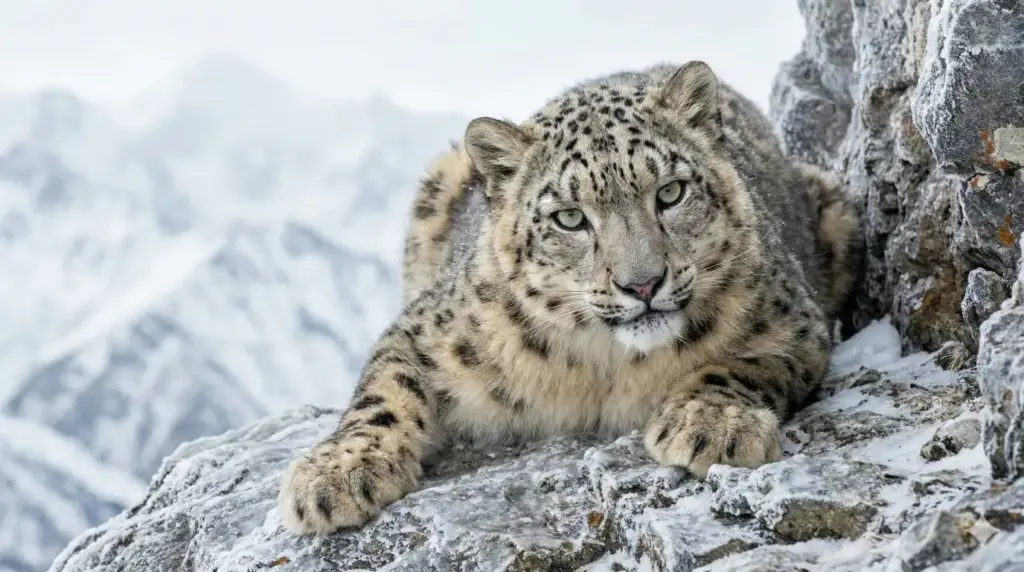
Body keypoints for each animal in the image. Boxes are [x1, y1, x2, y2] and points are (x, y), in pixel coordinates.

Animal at [277, 61, 861, 534]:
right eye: (570, 218)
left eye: (671, 192)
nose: (643, 283)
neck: (605, 368)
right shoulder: (425, 331)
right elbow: (383, 391)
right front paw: (334, 476)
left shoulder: (793, 323)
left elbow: (744, 364)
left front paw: (712, 424)